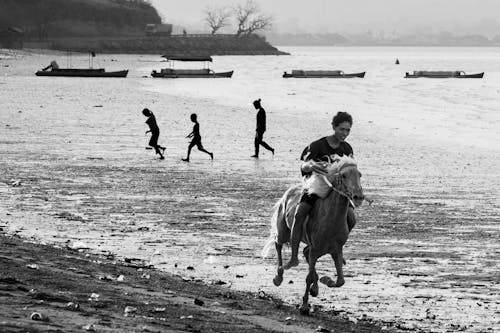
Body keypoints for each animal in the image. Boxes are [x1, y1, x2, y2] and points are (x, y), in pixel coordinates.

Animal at [262, 154, 364, 312]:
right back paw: (279, 276)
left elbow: (340, 281)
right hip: (284, 230)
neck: (330, 220)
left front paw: (324, 280)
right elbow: (309, 277)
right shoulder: (316, 249)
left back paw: (314, 287)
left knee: (305, 252)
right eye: (344, 175)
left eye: (359, 175)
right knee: (279, 244)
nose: (358, 196)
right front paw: (304, 306)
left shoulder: (336, 250)